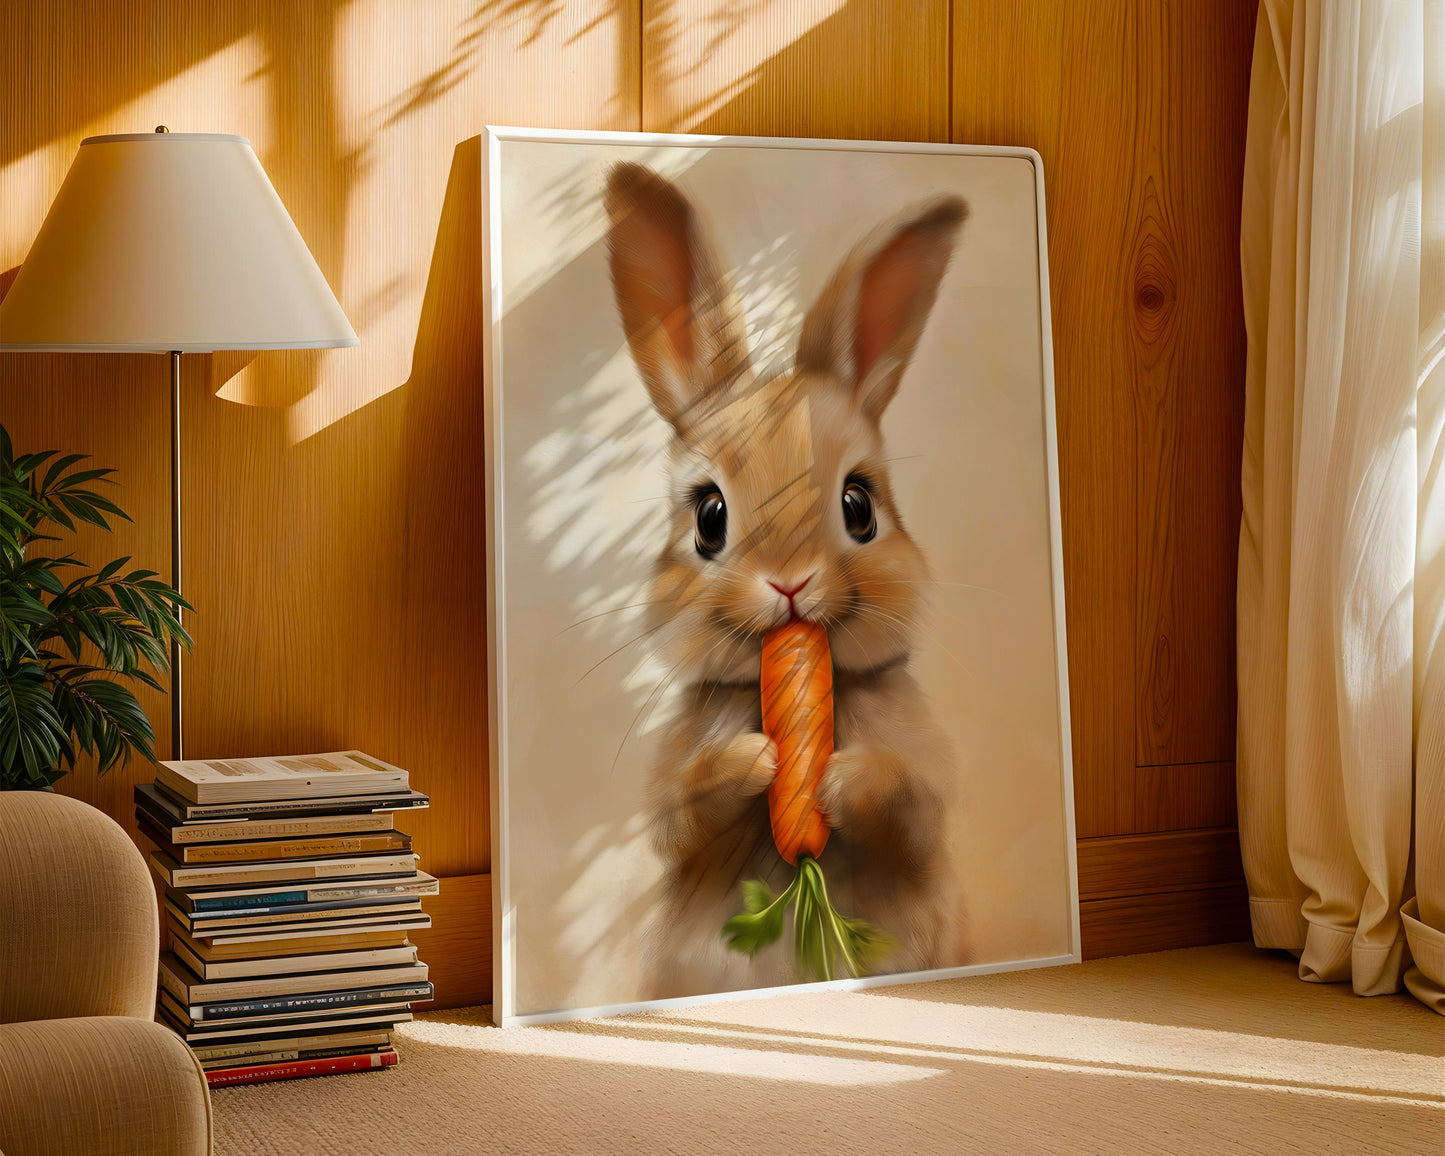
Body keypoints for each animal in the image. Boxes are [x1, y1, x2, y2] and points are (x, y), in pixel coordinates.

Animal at [603, 161, 967, 999]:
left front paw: (840, 779)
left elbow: (909, 805)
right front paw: (753, 762)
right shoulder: (670, 800)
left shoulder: (926, 790)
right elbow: (682, 812)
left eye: (858, 507)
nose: (790, 586)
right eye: (709, 518)